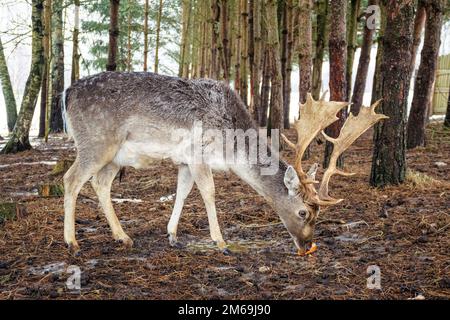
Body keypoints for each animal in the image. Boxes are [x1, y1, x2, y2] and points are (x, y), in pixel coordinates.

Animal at [63, 72, 386, 255]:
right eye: (303, 212)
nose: (307, 246)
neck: (232, 149)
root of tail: (66, 93)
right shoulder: (197, 153)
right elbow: (208, 192)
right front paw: (220, 242)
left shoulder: (184, 161)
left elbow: (182, 192)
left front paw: (172, 235)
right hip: (96, 142)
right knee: (71, 179)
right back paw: (72, 243)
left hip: (115, 156)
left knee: (100, 183)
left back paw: (123, 237)